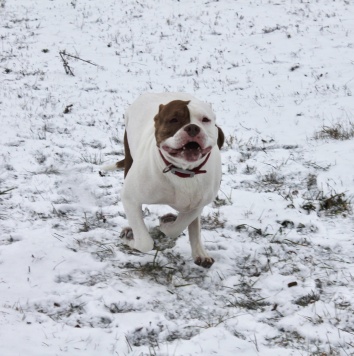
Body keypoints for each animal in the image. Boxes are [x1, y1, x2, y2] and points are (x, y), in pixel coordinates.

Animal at [110, 92, 224, 268]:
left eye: (205, 119)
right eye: (174, 120)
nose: (192, 127)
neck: (183, 171)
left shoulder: (199, 203)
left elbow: (180, 225)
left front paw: (167, 223)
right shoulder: (130, 197)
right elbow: (145, 243)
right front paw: (131, 238)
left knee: (194, 224)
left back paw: (200, 252)